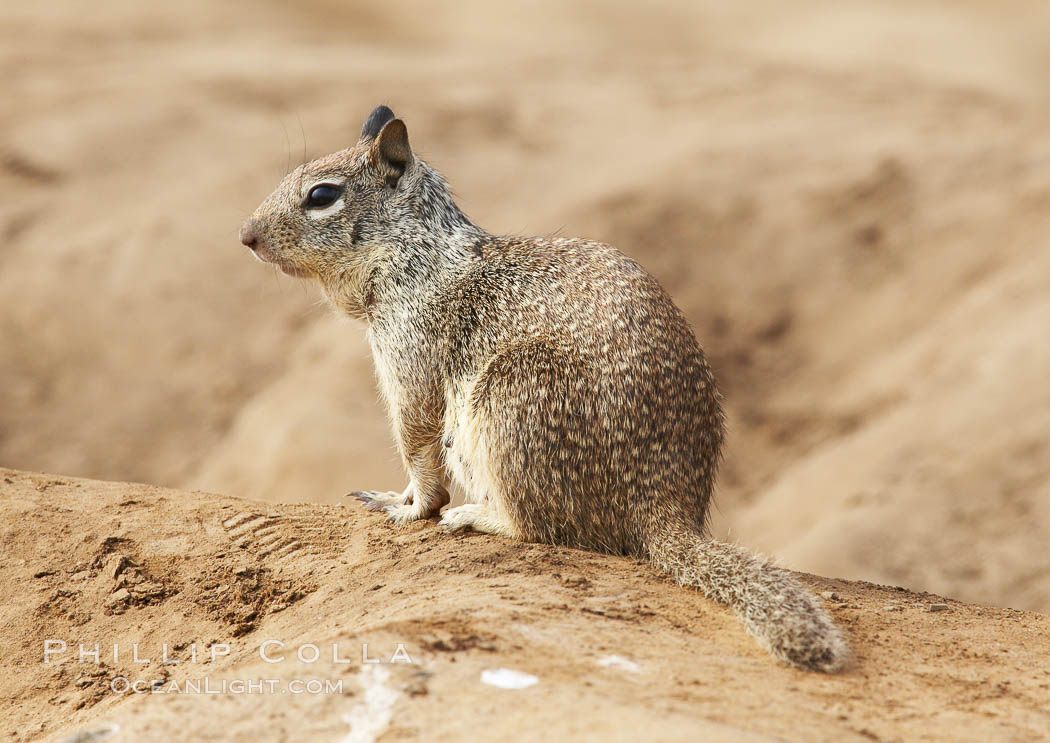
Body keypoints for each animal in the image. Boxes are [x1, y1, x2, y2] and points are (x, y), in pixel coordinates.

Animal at [238, 105, 844, 671]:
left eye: (321, 195)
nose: (246, 236)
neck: (417, 257)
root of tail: (666, 506)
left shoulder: (410, 362)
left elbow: (418, 448)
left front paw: (411, 508)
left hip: (515, 394)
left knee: (540, 529)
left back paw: (475, 516)